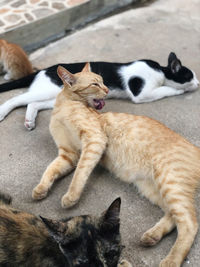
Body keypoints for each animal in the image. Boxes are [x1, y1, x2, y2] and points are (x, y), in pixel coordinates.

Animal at [0, 51, 198, 130]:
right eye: (190, 76)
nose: (198, 83)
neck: (161, 71)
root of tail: (43, 70)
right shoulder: (141, 93)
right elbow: (165, 89)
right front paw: (178, 91)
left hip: (58, 96)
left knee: (33, 103)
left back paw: (29, 121)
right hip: (47, 91)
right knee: (17, 99)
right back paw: (3, 112)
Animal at [32, 63, 200, 266]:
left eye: (103, 82)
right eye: (95, 84)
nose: (107, 90)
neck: (64, 106)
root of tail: (196, 148)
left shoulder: (94, 140)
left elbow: (80, 172)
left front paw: (71, 196)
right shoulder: (68, 154)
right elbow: (50, 170)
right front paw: (40, 189)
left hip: (169, 182)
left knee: (190, 222)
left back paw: (171, 259)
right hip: (153, 188)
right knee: (174, 215)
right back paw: (153, 235)